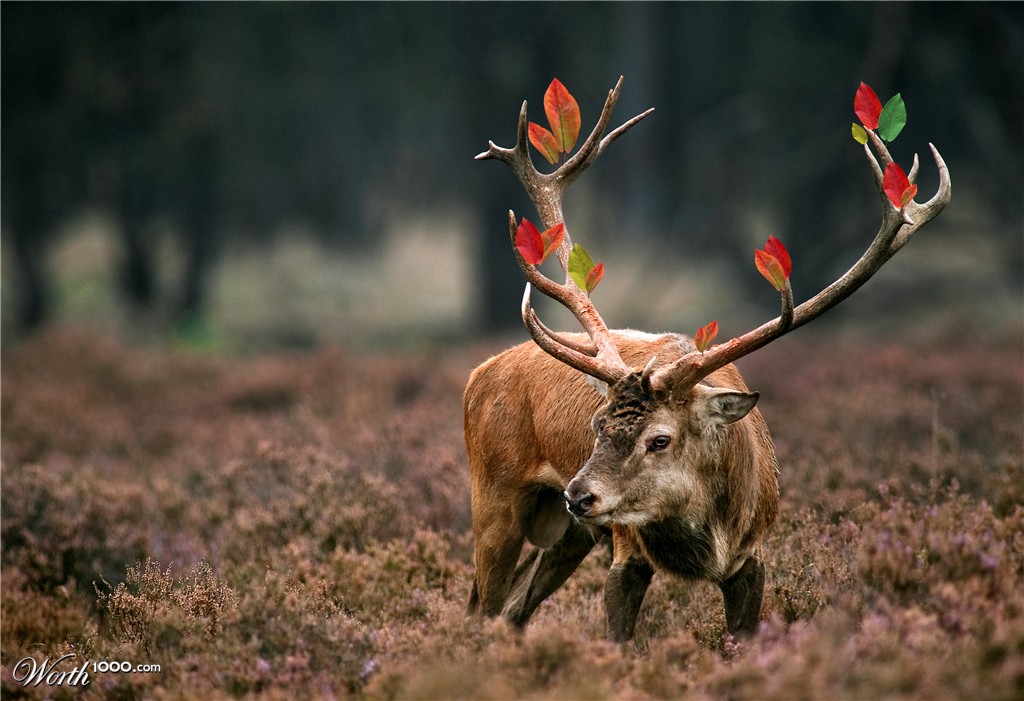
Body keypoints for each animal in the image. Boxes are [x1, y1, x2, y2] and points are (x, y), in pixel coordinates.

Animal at [464, 76, 950, 641]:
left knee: (515, 609)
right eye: (598, 425)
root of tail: (477, 372)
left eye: (660, 439)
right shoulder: (626, 550)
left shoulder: (753, 556)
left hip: (568, 533)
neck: (708, 538)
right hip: (498, 497)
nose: (579, 496)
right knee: (484, 606)